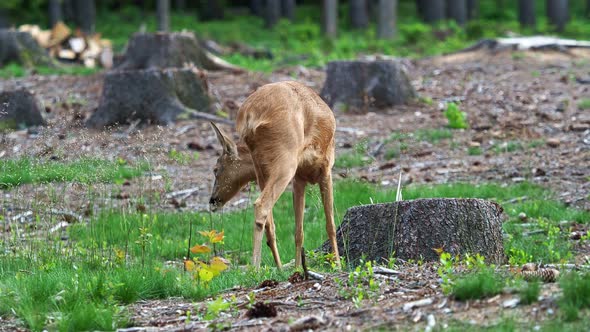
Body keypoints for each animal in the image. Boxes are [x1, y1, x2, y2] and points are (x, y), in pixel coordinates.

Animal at [209, 81, 342, 270]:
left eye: (216, 169)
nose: (212, 200)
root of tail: (250, 115)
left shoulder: (299, 178)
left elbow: (299, 230)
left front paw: (297, 267)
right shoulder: (326, 168)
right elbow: (330, 223)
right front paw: (338, 265)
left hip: (262, 168)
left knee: (270, 222)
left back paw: (278, 268)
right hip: (286, 160)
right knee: (261, 205)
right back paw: (255, 268)